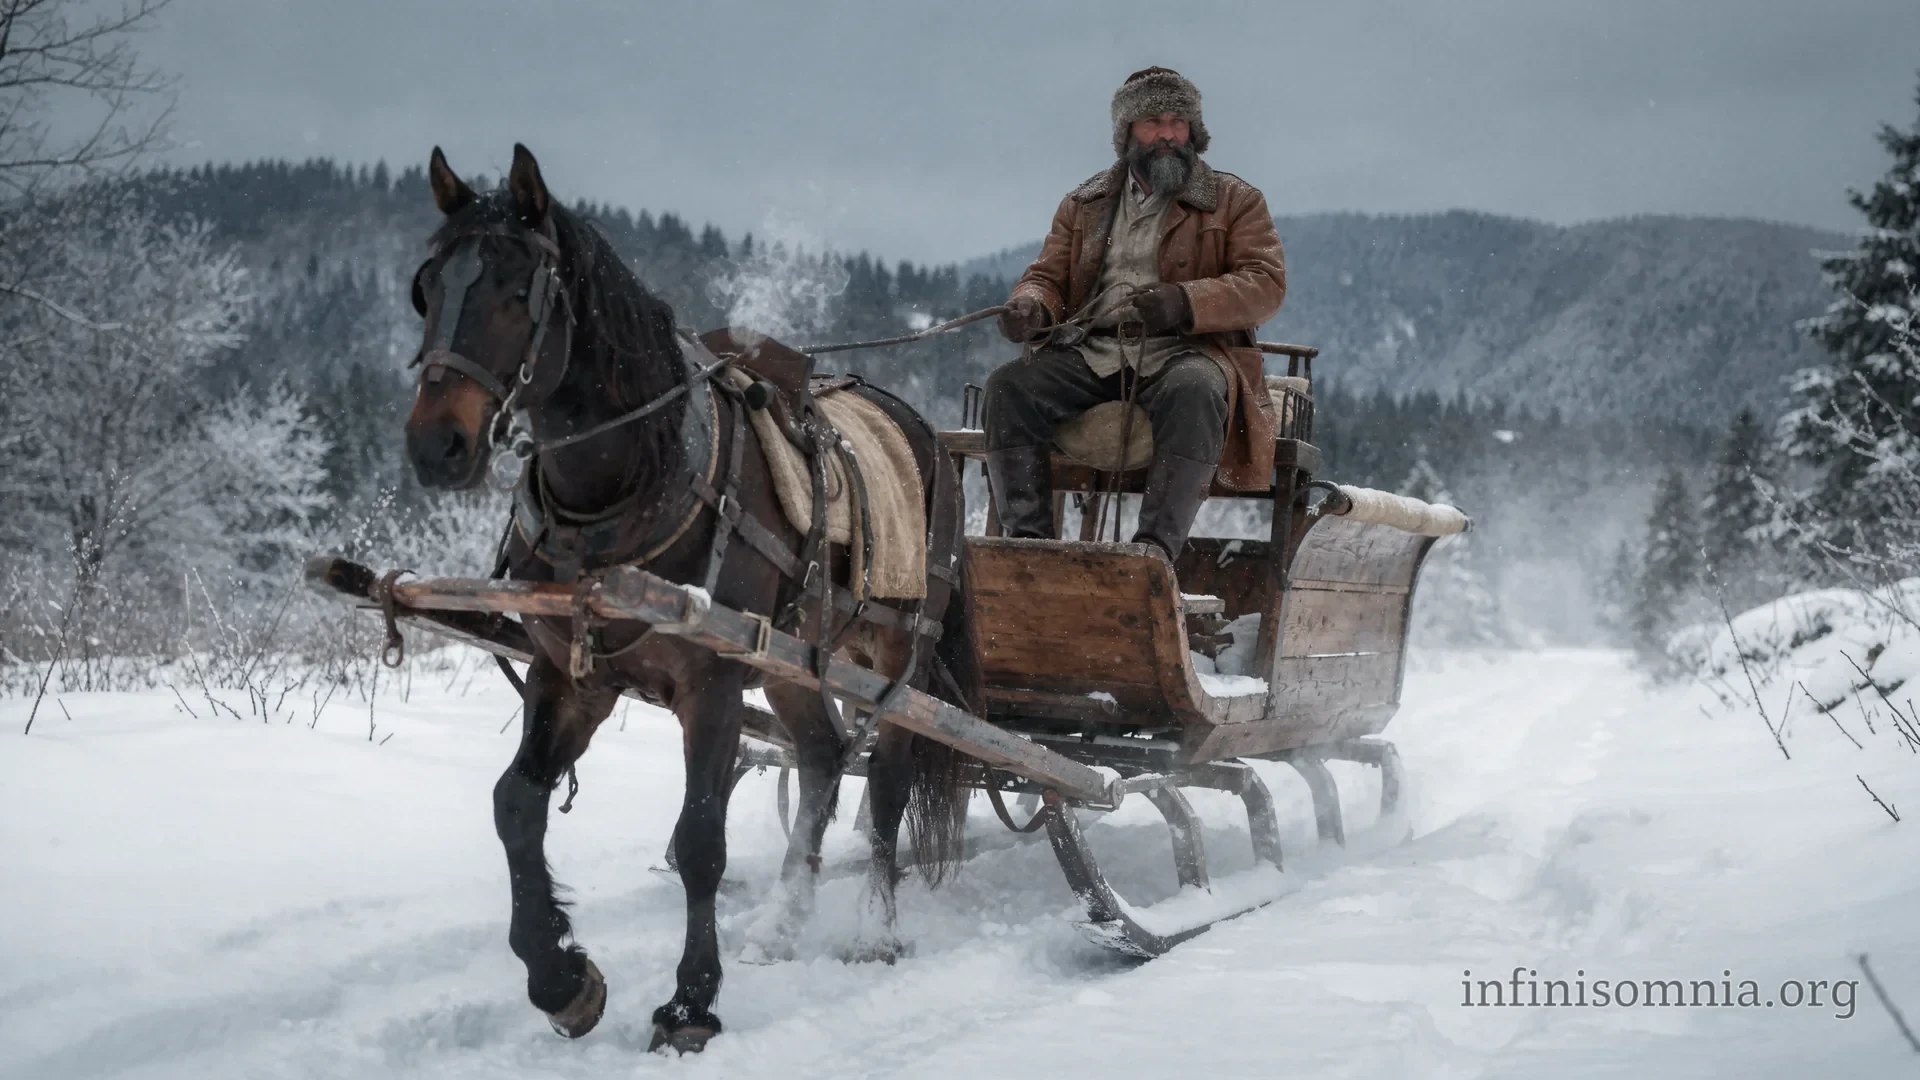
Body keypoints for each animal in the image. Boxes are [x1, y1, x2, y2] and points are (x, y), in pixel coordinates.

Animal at [402, 144, 978, 1054]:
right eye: (427, 287)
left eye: (517, 289)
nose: (437, 445)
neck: (636, 482)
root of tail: (928, 433)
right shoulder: (571, 675)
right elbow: (515, 805)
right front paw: (562, 979)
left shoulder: (712, 680)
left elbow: (701, 836)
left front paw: (689, 1004)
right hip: (793, 658)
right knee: (822, 755)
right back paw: (783, 922)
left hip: (901, 656)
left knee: (887, 777)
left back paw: (874, 930)